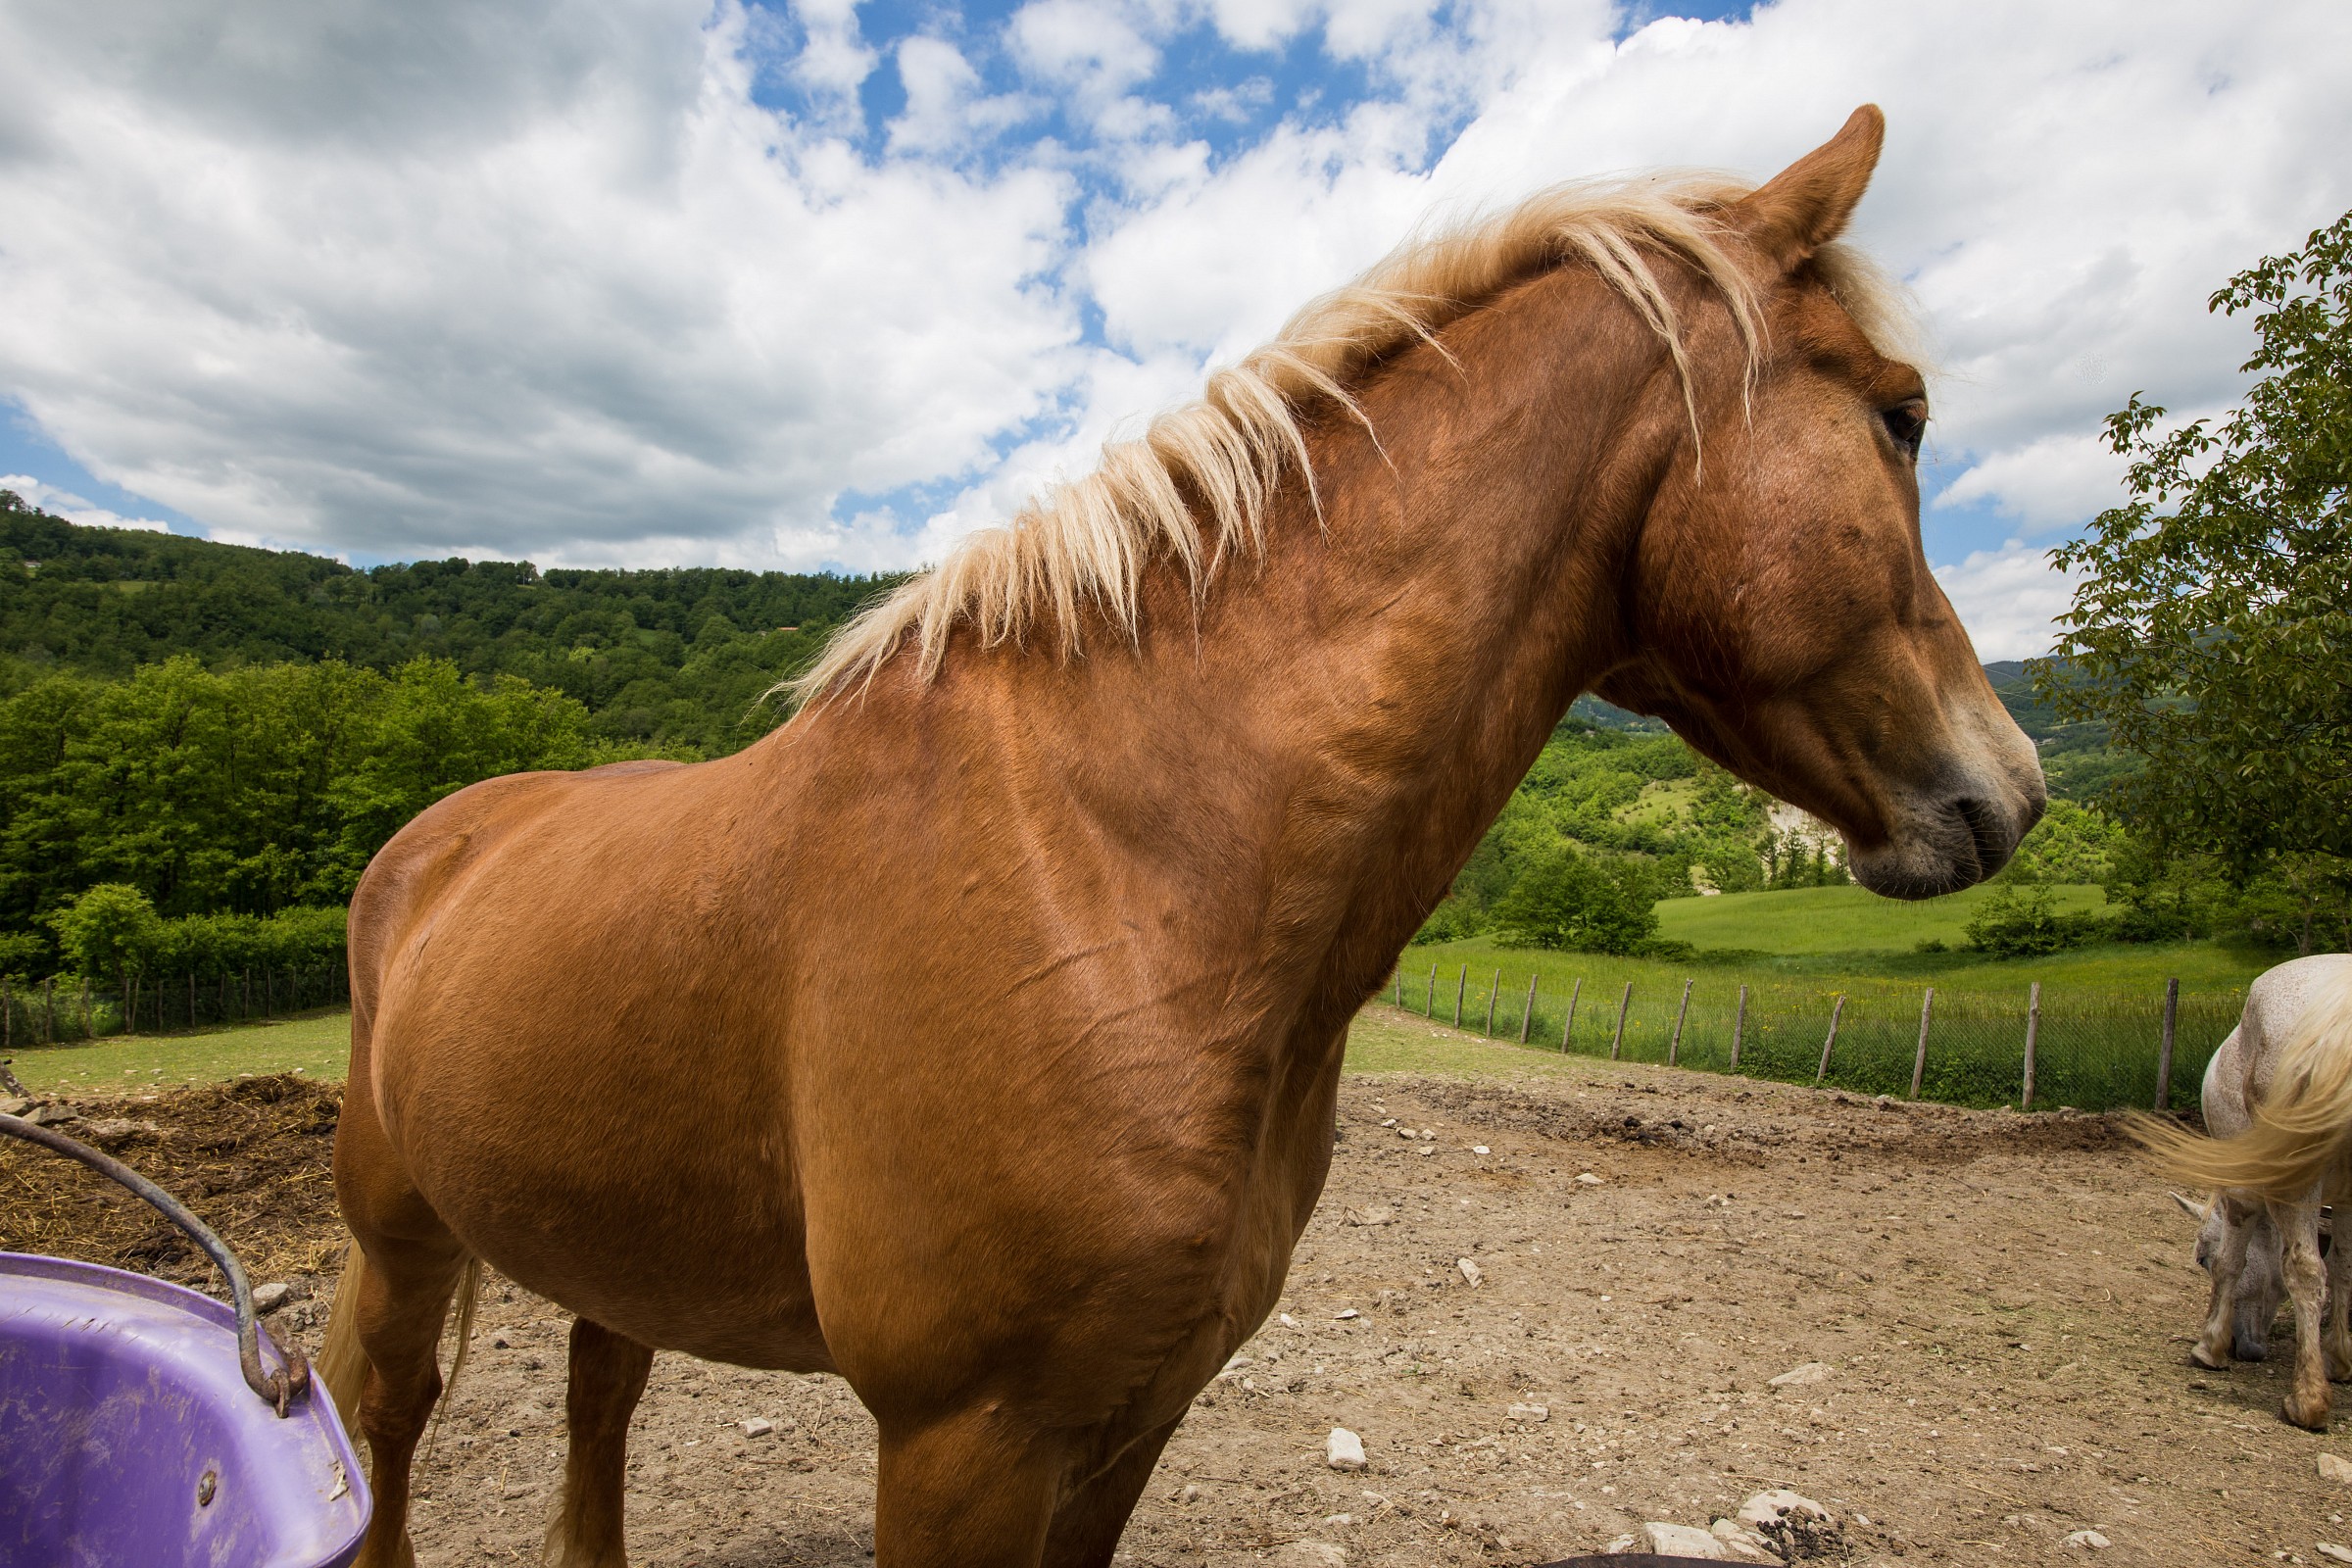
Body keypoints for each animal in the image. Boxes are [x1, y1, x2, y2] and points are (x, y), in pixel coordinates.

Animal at [318, 105, 2046, 1567]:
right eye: (1902, 417)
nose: (2015, 788)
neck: (1116, 874)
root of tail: (433, 847)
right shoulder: (960, 1442)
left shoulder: (1129, 1419)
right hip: (399, 1232)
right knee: (386, 1414)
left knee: (598, 1390)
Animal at [2143, 954, 2352, 1428]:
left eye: (2198, 1259)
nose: (2246, 1348)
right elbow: (2345, 1268)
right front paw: (2339, 1359)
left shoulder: (2240, 1187)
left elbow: (2231, 1263)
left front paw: (2209, 1346)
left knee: (2306, 1270)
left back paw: (2307, 1399)